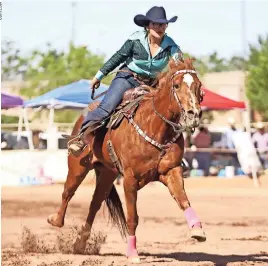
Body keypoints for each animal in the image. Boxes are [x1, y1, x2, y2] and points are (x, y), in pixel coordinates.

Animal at [47, 58, 205, 262]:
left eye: (199, 86)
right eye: (176, 85)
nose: (194, 114)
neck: (155, 126)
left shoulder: (172, 171)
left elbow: (183, 201)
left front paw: (198, 230)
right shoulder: (130, 179)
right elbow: (132, 217)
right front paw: (132, 253)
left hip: (107, 174)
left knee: (94, 205)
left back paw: (80, 244)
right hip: (77, 167)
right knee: (67, 192)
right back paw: (56, 220)